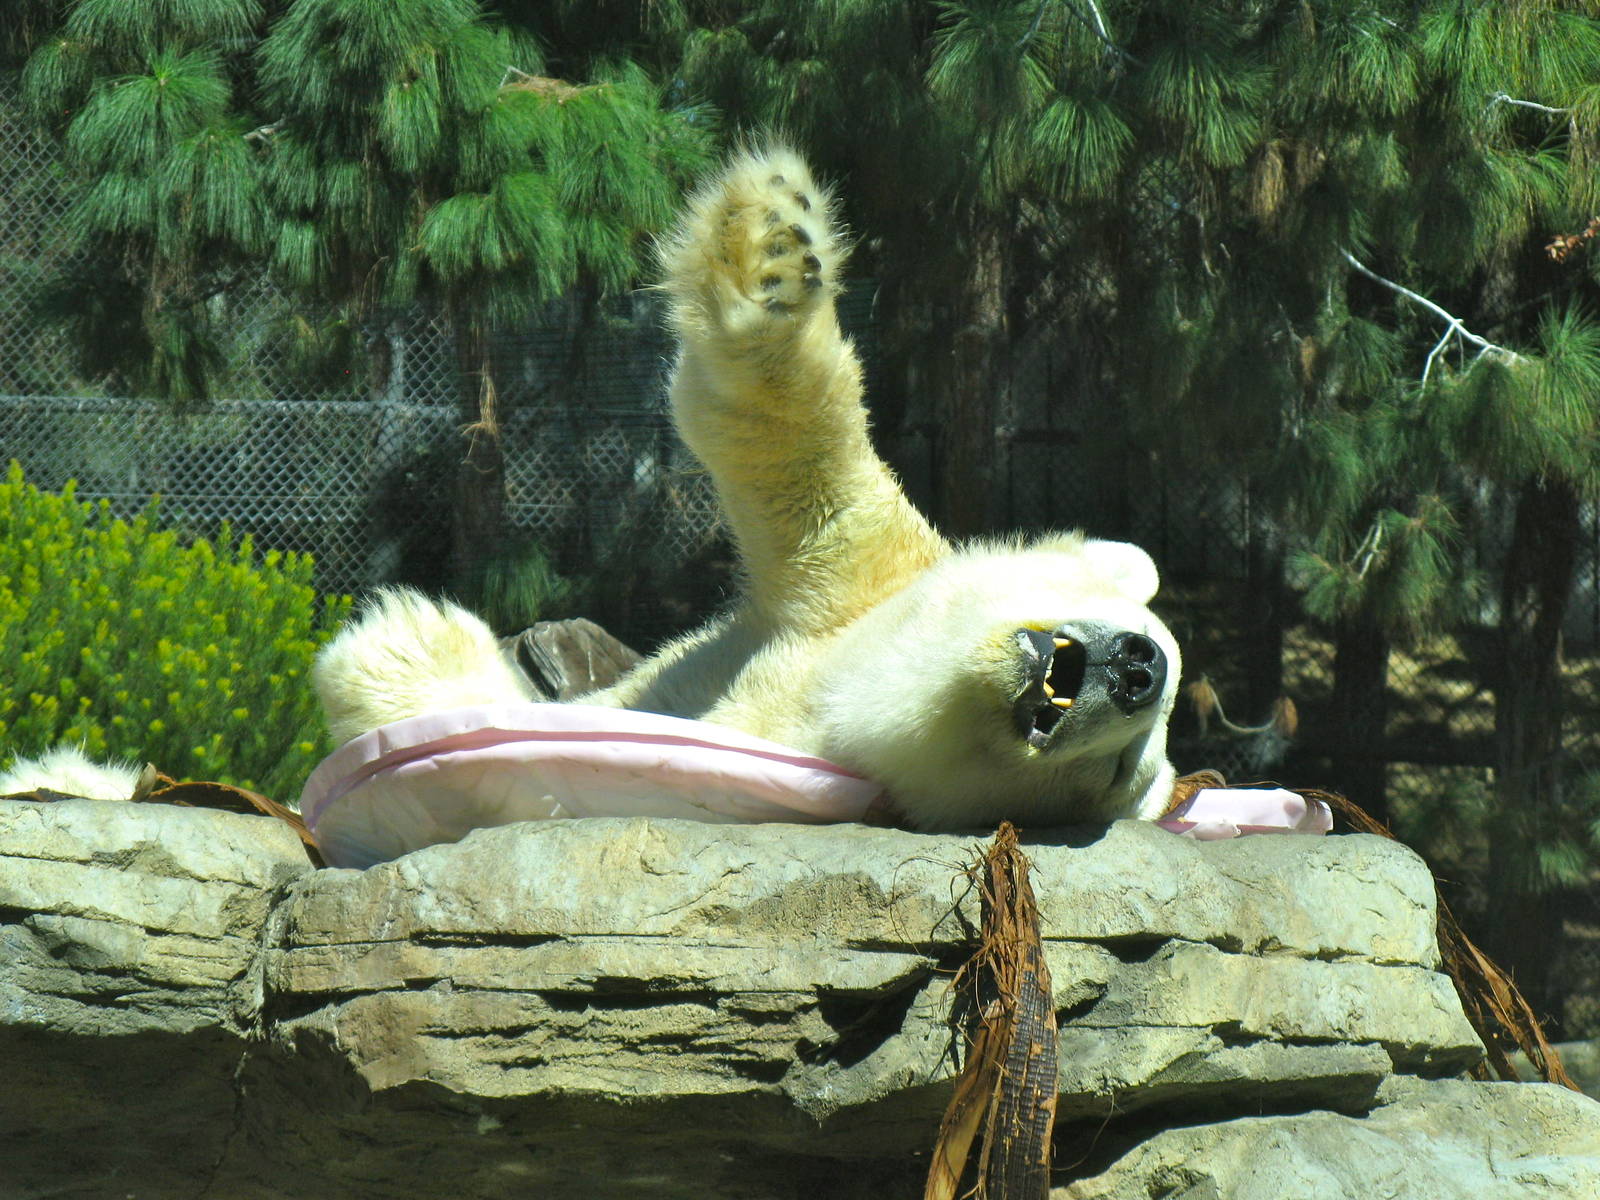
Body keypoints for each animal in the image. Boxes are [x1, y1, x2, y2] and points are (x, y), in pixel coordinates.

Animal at [313, 145, 1183, 831]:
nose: (1139, 670)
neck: (834, 694)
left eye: (1116, 773)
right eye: (1133, 620)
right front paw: (772, 247)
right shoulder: (846, 586)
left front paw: (405, 642)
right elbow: (807, 468)